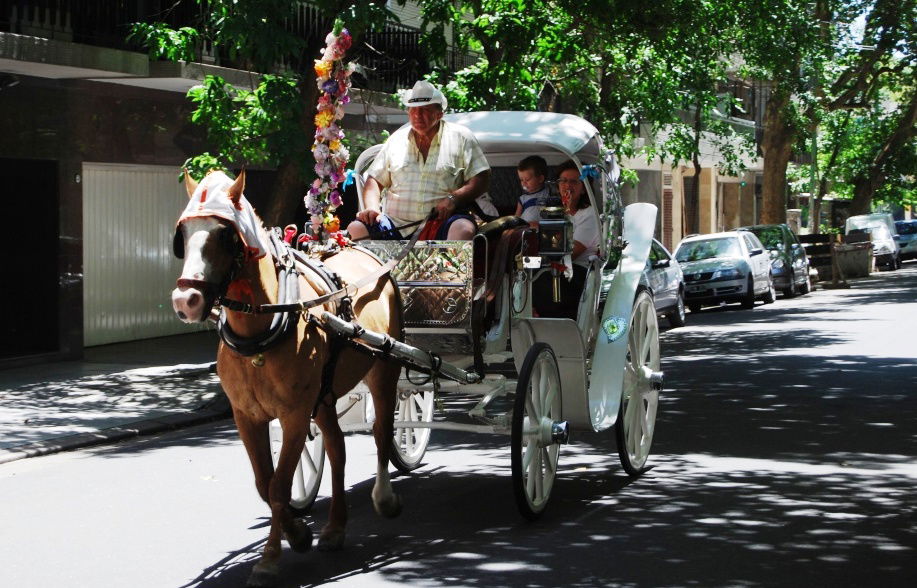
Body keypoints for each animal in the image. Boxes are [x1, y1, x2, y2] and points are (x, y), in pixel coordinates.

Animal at [172, 168, 400, 584]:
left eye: (225, 234)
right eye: (183, 234)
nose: (186, 301)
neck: (260, 336)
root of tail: (365, 253)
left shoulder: (294, 415)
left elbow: (279, 485)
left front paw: (269, 559)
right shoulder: (246, 416)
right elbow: (265, 483)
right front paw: (298, 533)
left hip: (384, 368)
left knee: (381, 432)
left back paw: (384, 497)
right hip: (324, 397)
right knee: (337, 449)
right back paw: (335, 528)